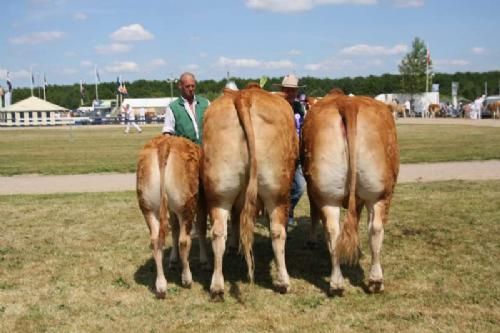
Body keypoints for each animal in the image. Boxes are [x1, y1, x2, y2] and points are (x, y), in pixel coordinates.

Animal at [136, 134, 208, 296]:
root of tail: (164, 143)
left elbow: (174, 229)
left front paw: (173, 260)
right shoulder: (202, 202)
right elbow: (200, 228)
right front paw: (203, 260)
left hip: (148, 207)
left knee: (156, 240)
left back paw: (161, 285)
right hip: (186, 205)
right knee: (184, 240)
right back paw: (187, 278)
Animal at [202, 83, 298, 298]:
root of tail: (243, 96)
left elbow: (236, 219)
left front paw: (233, 245)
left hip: (219, 191)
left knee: (218, 232)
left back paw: (217, 286)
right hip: (278, 193)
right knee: (277, 232)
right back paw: (283, 282)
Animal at [300, 88, 398, 294]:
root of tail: (348, 104)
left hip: (331, 194)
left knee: (339, 230)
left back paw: (341, 282)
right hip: (378, 194)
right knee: (372, 229)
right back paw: (370, 280)